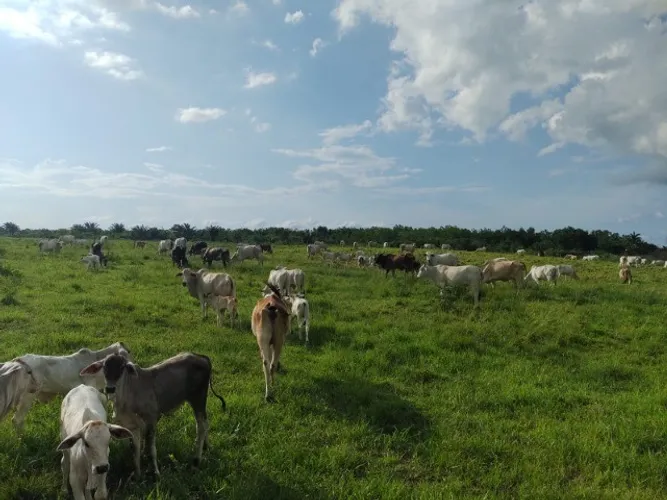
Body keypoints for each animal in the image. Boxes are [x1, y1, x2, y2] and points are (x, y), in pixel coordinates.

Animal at [79, 353, 226, 478]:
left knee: (202, 426)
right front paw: (137, 474)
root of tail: (201, 356)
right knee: (206, 423)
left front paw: (155, 472)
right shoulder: (132, 426)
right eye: (104, 367)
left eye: (122, 367)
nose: (110, 388)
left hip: (198, 399)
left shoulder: (151, 420)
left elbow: (151, 449)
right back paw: (207, 447)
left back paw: (196, 461)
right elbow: (135, 449)